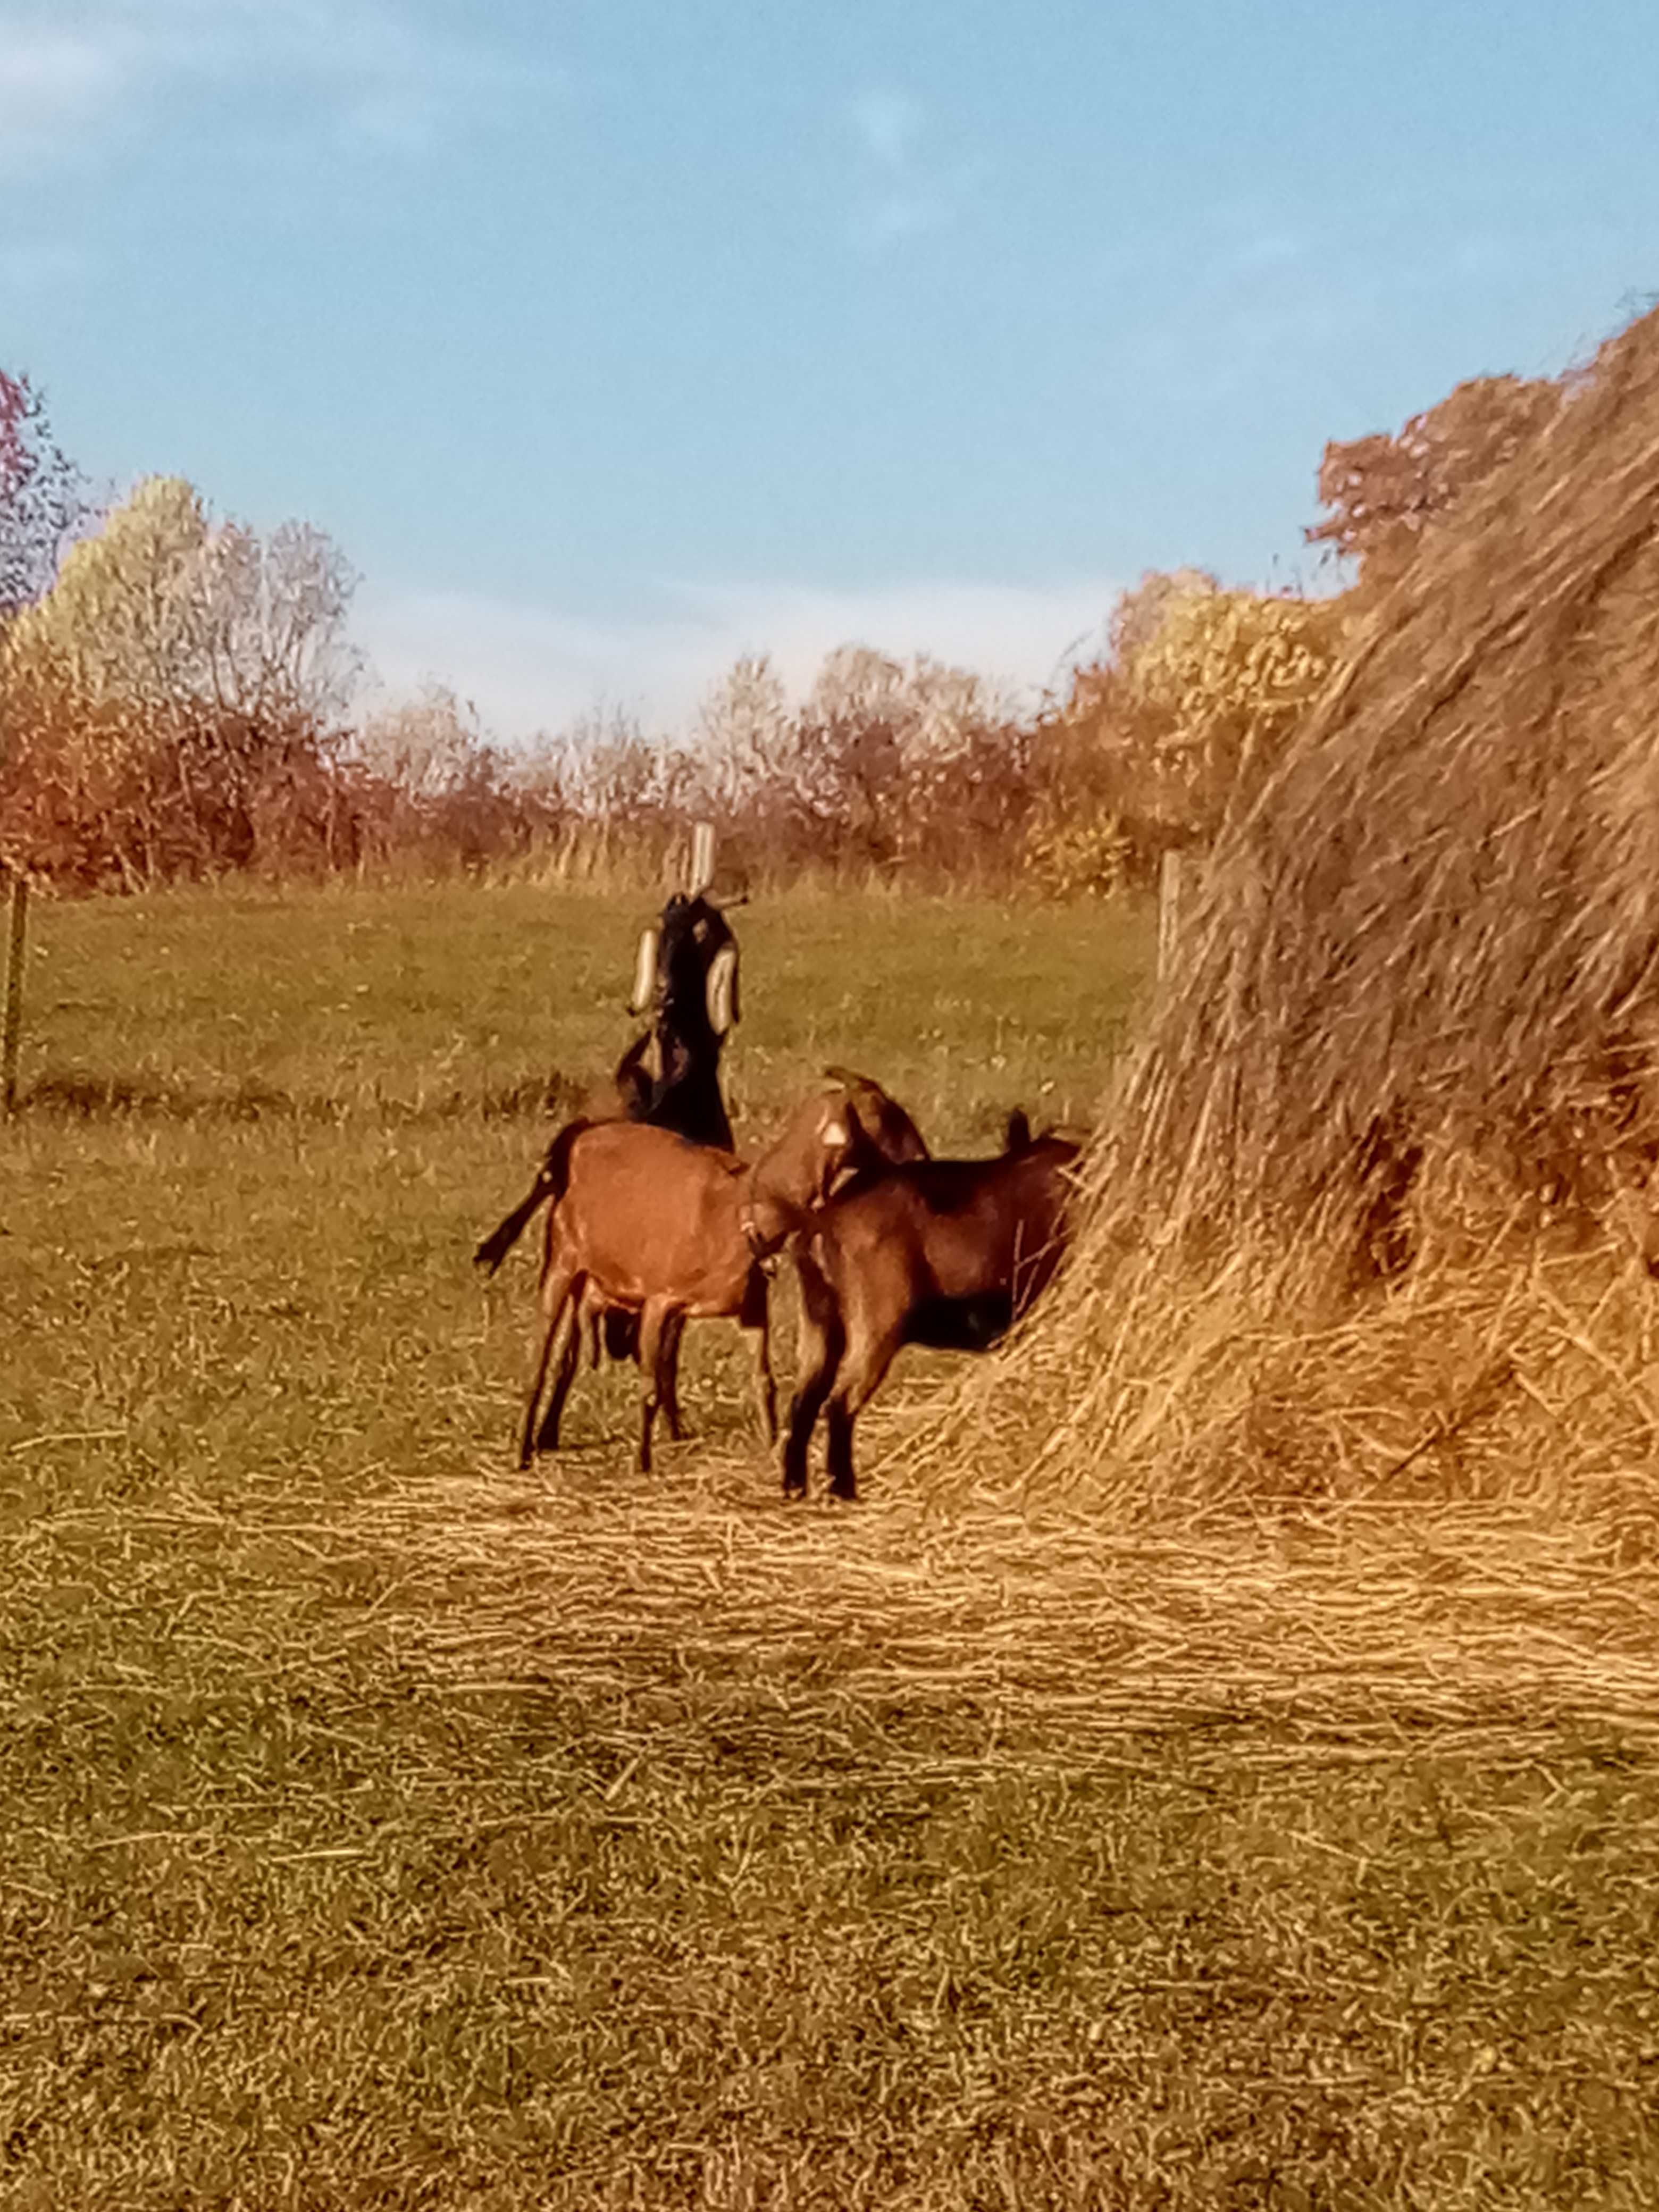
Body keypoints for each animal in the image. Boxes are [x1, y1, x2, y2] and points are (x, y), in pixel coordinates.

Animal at [787, 1106, 1084, 1504]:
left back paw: (795, 1486)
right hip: (877, 1323)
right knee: (841, 1400)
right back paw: (844, 1489)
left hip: (820, 1318)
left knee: (805, 1397)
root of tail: (823, 1224)